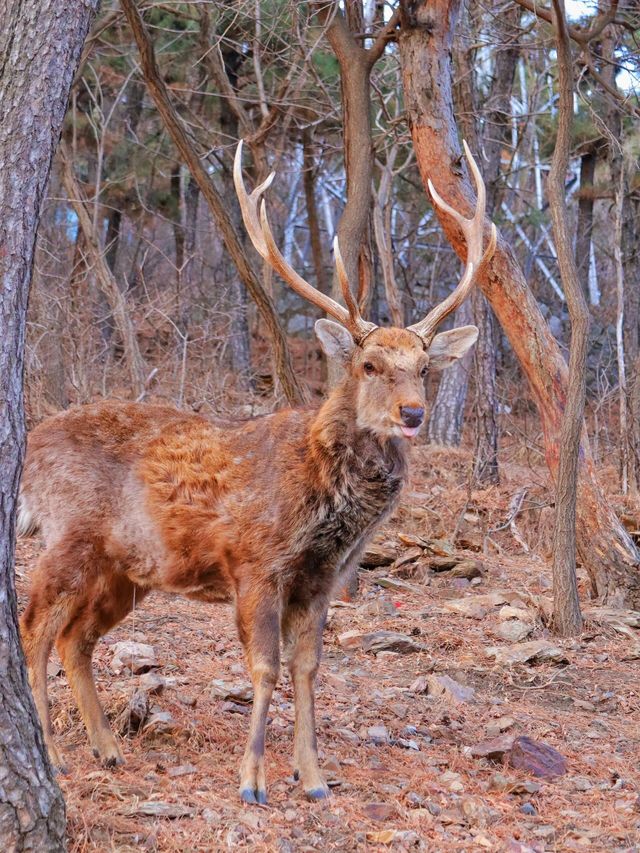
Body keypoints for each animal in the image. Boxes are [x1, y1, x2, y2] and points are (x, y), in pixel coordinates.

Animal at [16, 140, 496, 804]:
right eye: (369, 365)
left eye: (424, 367)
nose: (413, 413)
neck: (321, 506)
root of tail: (31, 446)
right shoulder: (256, 563)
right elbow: (264, 668)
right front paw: (252, 781)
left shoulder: (321, 581)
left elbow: (308, 668)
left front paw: (313, 779)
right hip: (69, 532)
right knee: (34, 625)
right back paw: (56, 756)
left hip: (127, 569)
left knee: (75, 638)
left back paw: (107, 748)